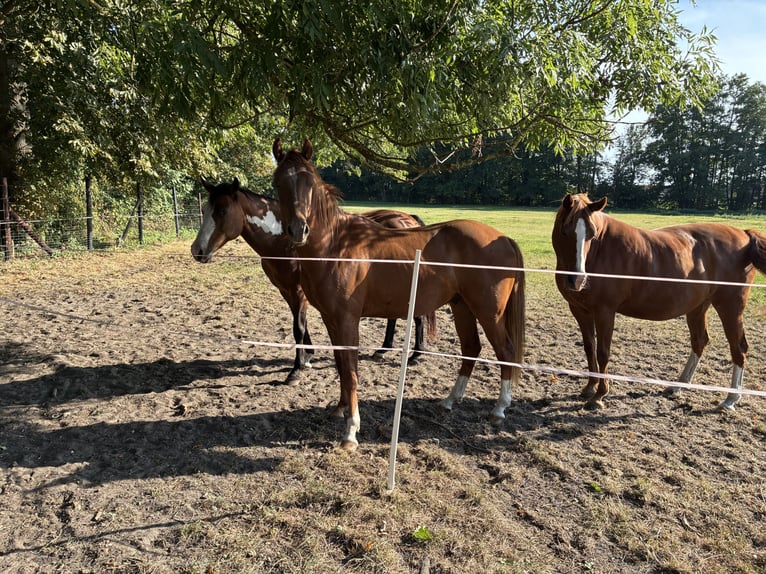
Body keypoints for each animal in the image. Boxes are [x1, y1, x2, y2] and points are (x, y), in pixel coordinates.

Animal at [190, 178, 434, 384]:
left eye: (222, 210)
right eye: (206, 210)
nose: (197, 250)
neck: (285, 241)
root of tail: (409, 219)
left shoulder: (298, 291)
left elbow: (298, 327)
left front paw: (296, 370)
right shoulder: (287, 290)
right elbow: (299, 324)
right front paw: (308, 356)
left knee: (418, 317)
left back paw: (415, 355)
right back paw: (384, 349)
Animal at [272, 138, 526, 450]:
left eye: (309, 182)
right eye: (278, 183)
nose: (299, 230)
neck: (336, 245)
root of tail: (503, 238)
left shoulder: (346, 320)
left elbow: (351, 372)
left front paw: (351, 431)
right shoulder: (331, 320)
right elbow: (342, 366)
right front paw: (340, 409)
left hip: (489, 313)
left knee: (506, 351)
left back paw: (499, 409)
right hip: (462, 306)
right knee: (471, 349)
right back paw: (449, 401)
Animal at [551, 193, 766, 410]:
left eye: (592, 234)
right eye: (565, 230)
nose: (578, 279)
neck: (600, 250)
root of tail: (745, 235)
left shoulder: (605, 311)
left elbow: (603, 352)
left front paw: (599, 395)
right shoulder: (580, 310)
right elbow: (589, 348)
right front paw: (589, 387)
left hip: (730, 307)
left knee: (738, 348)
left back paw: (731, 399)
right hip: (698, 307)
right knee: (700, 341)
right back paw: (678, 386)